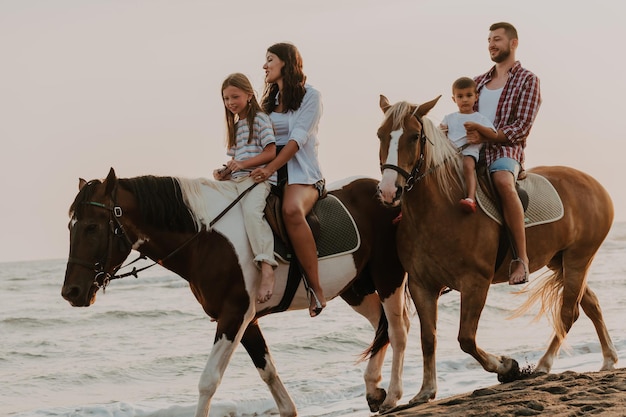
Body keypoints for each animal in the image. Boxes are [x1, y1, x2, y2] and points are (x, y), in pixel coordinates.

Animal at [61, 168, 408, 416]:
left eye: (92, 227)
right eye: (70, 226)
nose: (71, 292)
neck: (205, 238)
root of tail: (384, 192)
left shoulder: (234, 315)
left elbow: (208, 381)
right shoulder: (246, 319)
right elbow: (269, 375)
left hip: (387, 275)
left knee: (397, 329)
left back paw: (392, 395)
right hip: (357, 288)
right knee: (382, 327)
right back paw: (373, 388)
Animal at [372, 96, 616, 404]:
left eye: (414, 136)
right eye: (380, 134)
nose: (389, 191)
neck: (442, 210)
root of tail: (596, 186)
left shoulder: (475, 283)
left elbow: (466, 339)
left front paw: (507, 366)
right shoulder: (421, 286)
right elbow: (429, 339)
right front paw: (426, 390)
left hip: (578, 259)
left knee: (568, 313)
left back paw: (543, 365)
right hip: (560, 262)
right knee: (590, 304)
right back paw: (608, 359)